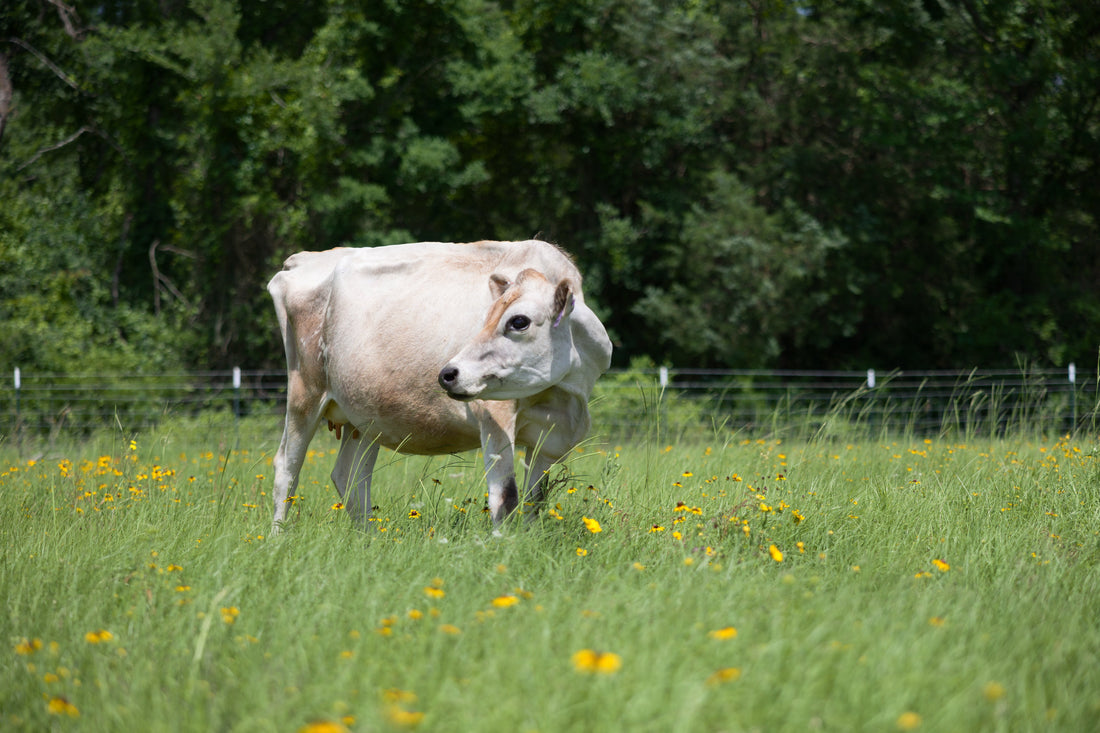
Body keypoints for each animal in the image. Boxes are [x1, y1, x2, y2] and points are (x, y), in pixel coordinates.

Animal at [266, 239, 613, 534]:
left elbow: (534, 500)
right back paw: (277, 538)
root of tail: (305, 259)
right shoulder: (495, 418)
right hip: (304, 394)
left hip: (364, 417)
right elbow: (505, 498)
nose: (448, 373)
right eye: (486, 316)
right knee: (287, 468)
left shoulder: (550, 437)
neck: (565, 395)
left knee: (351, 477)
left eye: (519, 321)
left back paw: (369, 538)